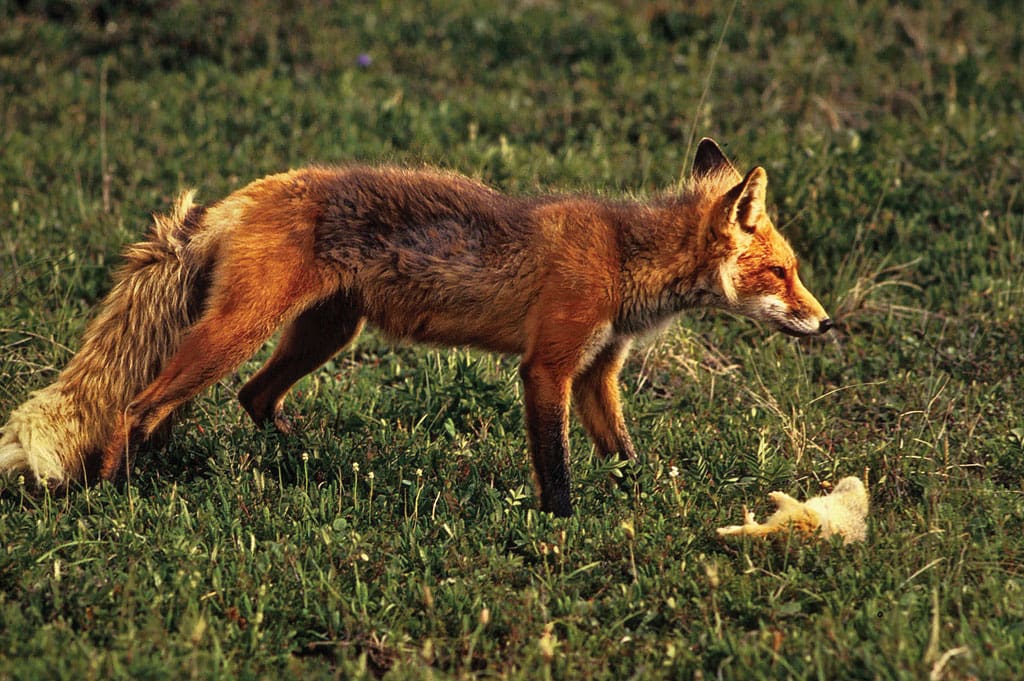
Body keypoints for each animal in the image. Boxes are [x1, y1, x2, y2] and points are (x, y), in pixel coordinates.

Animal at [0, 138, 831, 516]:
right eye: (783, 272)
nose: (826, 324)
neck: (625, 256)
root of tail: (240, 196)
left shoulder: (597, 374)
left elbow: (624, 454)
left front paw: (646, 504)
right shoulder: (548, 366)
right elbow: (557, 467)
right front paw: (564, 528)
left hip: (324, 334)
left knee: (248, 399)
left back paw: (293, 457)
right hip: (239, 331)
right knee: (137, 404)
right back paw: (116, 488)